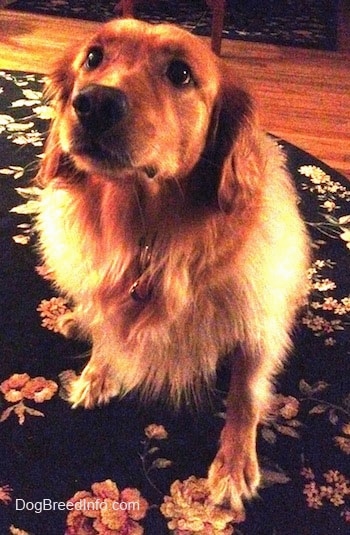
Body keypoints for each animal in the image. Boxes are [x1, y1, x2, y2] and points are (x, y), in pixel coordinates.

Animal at [35, 18, 308, 512]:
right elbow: (107, 334)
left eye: (180, 73)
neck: (143, 232)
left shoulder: (258, 322)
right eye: (93, 57)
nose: (94, 103)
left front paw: (234, 463)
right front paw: (98, 370)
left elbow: (245, 394)